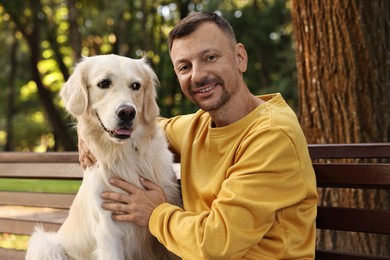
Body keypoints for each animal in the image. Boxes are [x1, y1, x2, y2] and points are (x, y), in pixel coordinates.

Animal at [25, 54, 181, 260]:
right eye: (104, 83)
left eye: (136, 85)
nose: (127, 112)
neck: (123, 154)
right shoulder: (109, 232)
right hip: (44, 244)